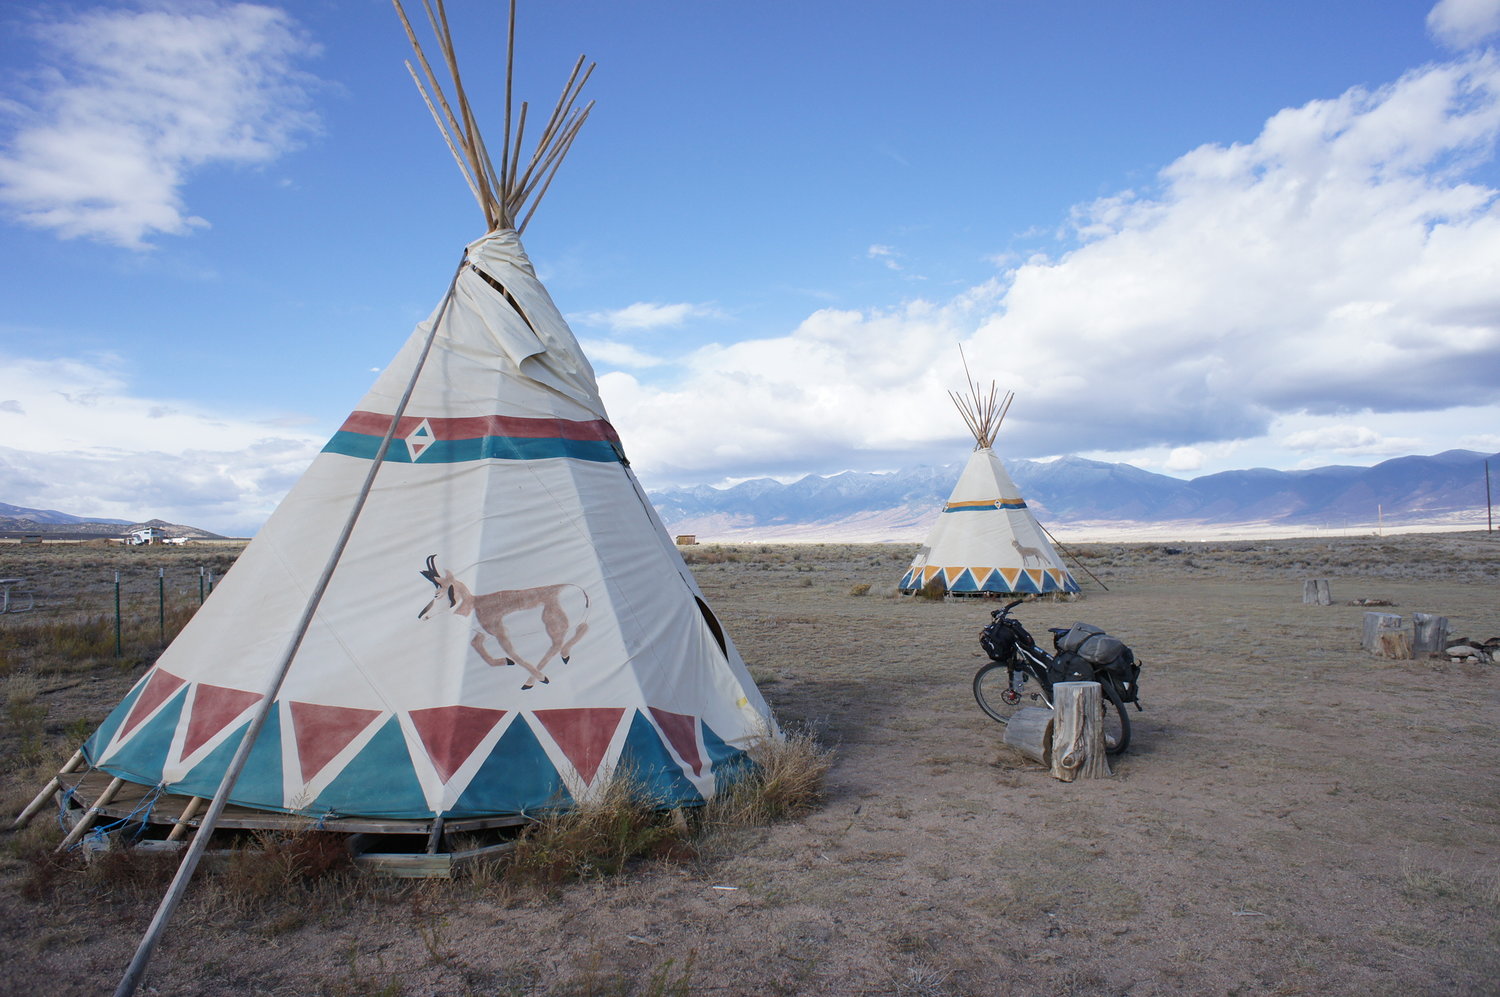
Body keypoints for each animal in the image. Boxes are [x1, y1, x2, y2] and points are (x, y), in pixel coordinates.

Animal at [423, 554, 591, 689]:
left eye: (436, 594)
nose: (421, 616)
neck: (475, 605)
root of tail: (580, 591)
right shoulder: (484, 635)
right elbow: (476, 645)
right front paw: (506, 661)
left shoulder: (501, 634)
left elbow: (513, 654)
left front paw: (541, 678)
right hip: (574, 623)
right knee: (583, 629)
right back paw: (565, 656)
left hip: (554, 628)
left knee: (556, 646)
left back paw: (532, 681)